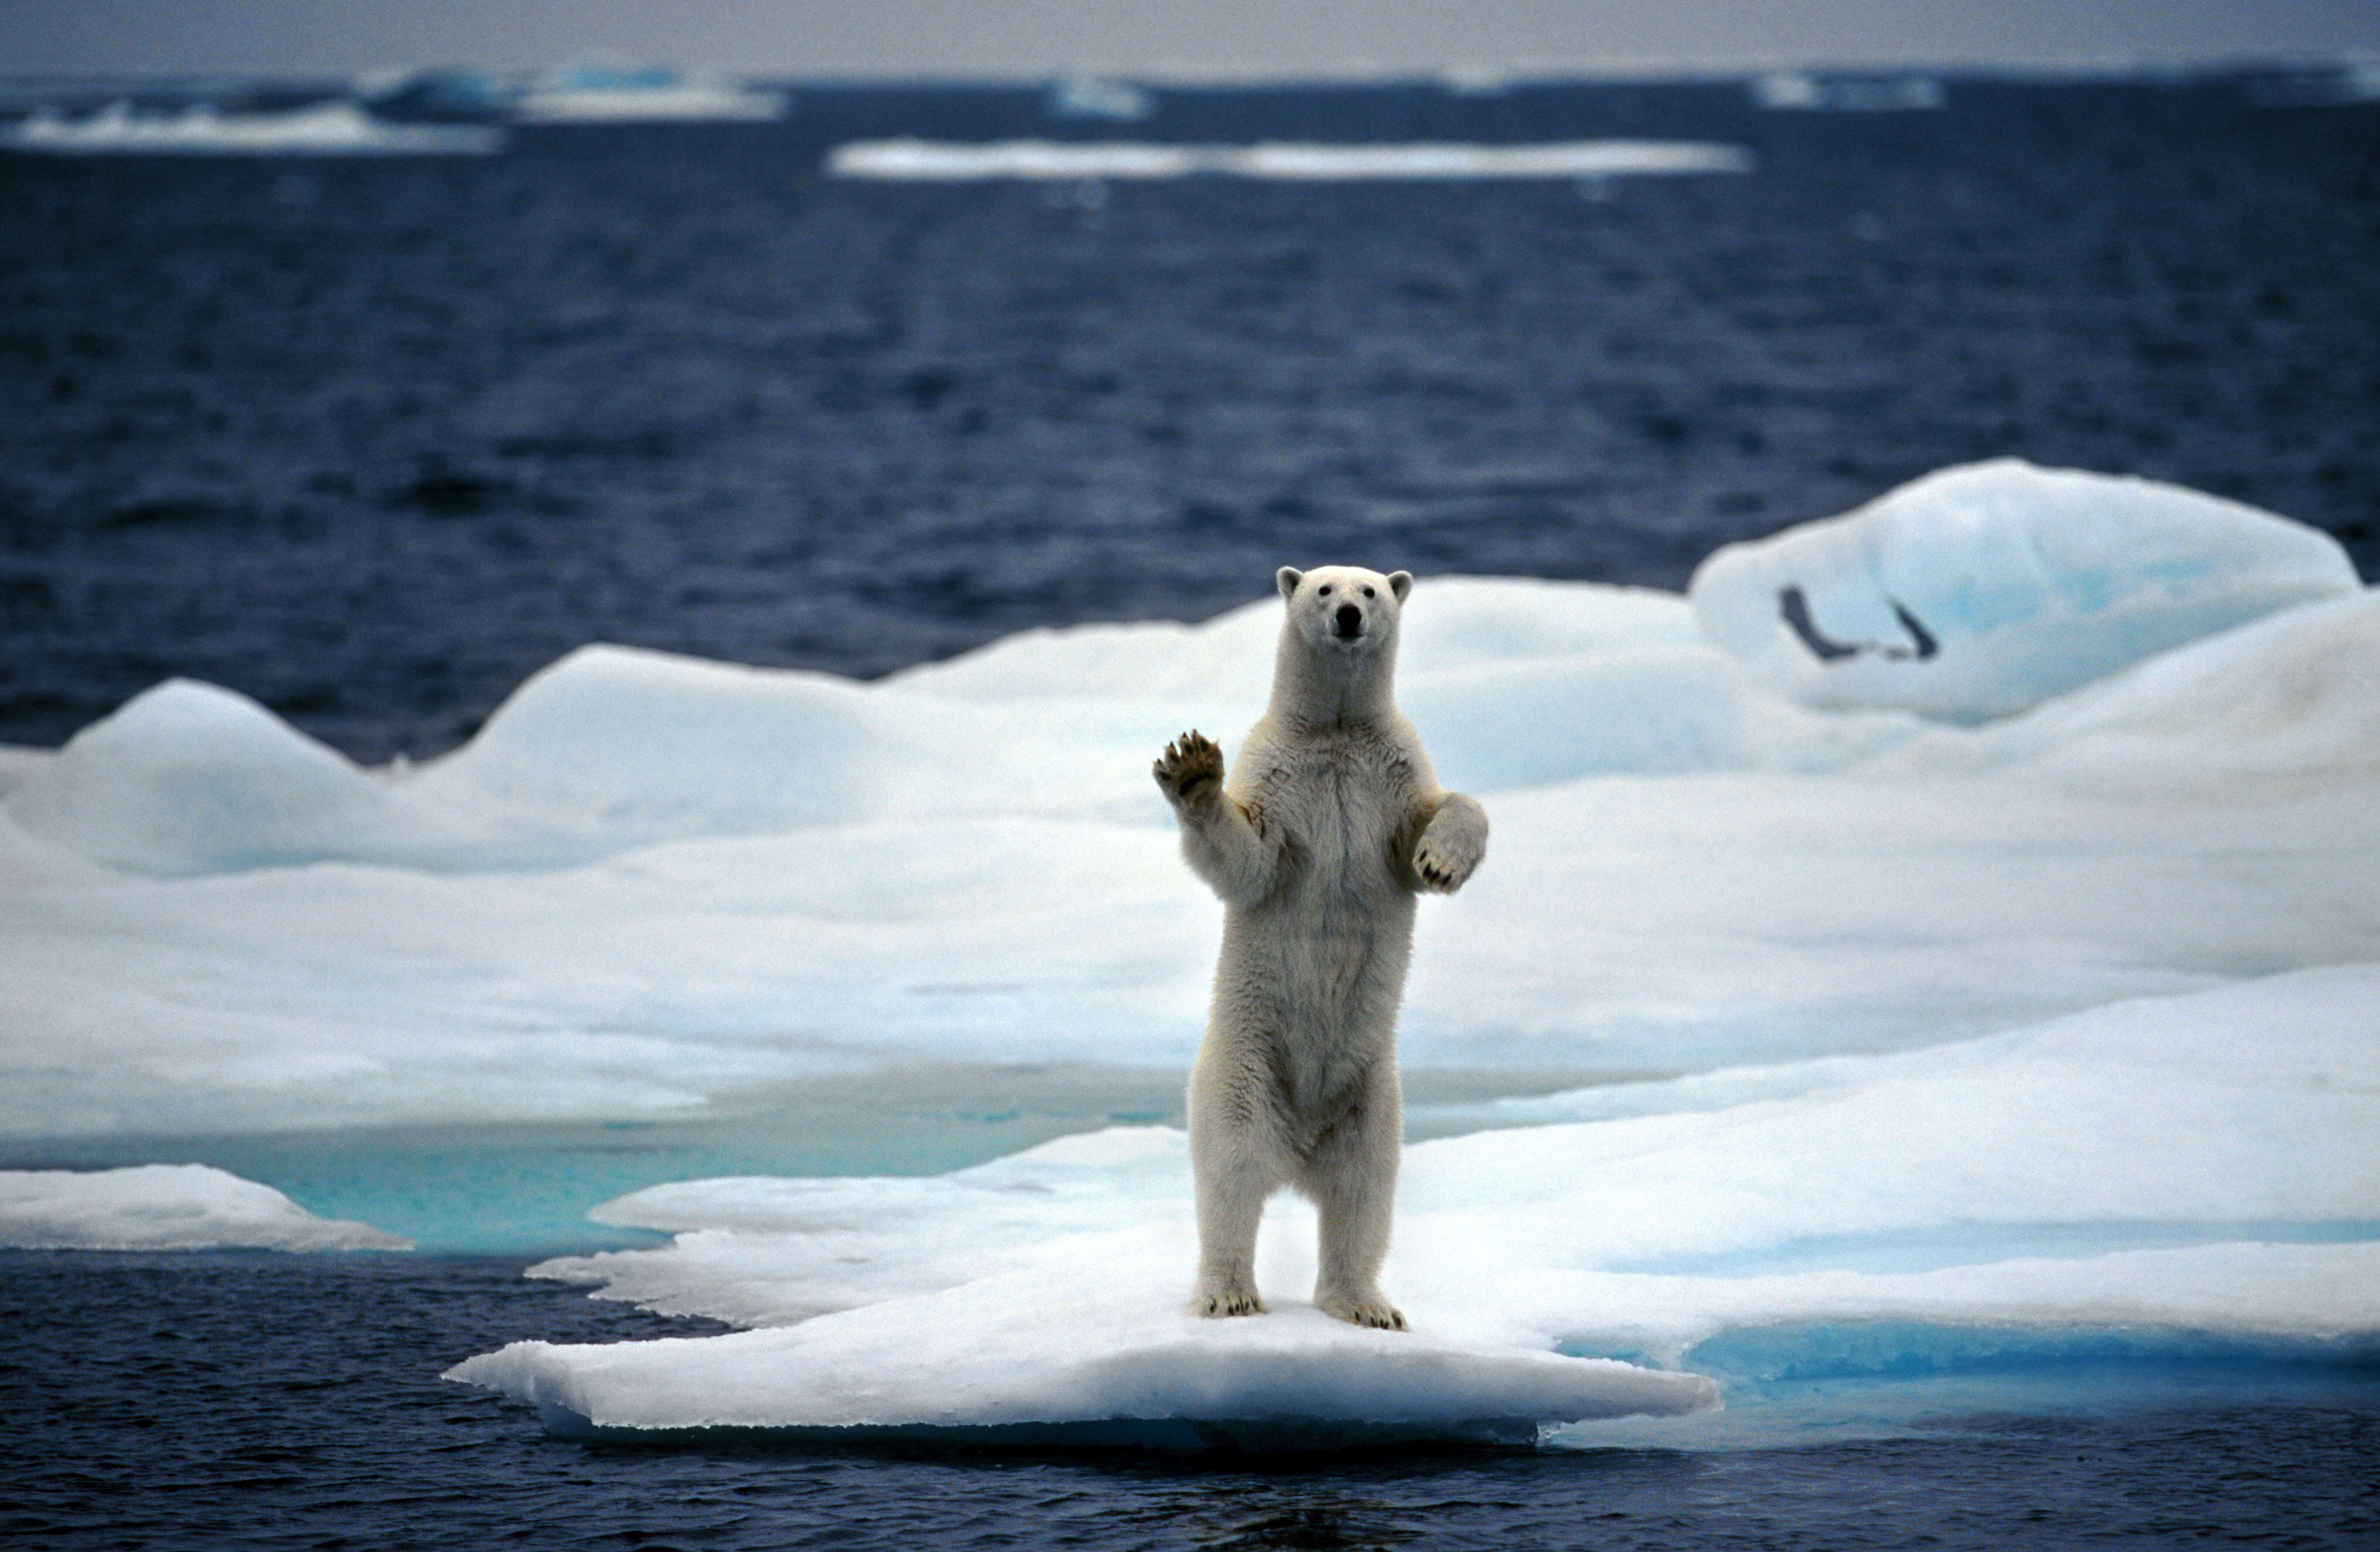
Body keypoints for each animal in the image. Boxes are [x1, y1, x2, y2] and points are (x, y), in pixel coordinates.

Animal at [1152, 564, 1485, 1323]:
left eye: (1372, 591)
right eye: (1324, 588)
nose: (1348, 617)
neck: (1334, 733)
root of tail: (1298, 1149)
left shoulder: (1393, 778)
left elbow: (1444, 815)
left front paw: (1441, 861)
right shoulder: (1278, 780)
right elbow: (1247, 861)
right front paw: (1193, 771)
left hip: (1371, 1094)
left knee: (1364, 1191)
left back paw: (1365, 1303)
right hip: (1244, 1066)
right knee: (1233, 1172)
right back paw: (1229, 1292)